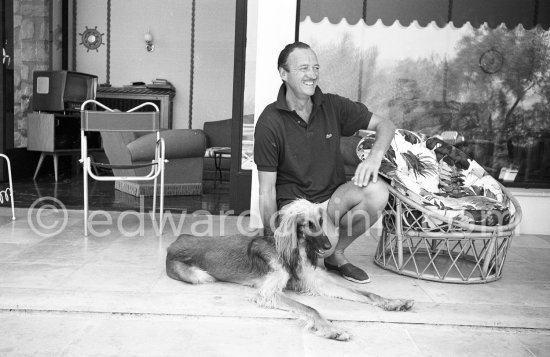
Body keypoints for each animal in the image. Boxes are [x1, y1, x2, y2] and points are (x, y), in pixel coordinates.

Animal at [166, 197, 416, 340]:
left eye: (321, 221)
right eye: (308, 224)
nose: (329, 247)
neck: (295, 251)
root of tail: (174, 242)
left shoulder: (315, 280)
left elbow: (365, 293)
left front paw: (393, 302)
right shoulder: (268, 292)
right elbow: (311, 309)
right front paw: (331, 329)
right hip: (199, 276)